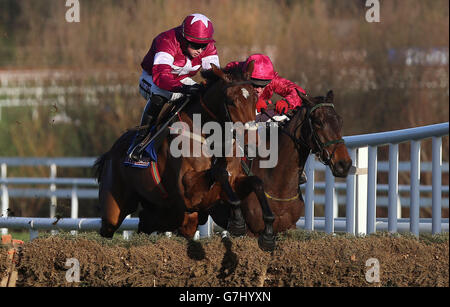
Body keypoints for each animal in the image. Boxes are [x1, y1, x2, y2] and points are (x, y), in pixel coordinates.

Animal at [92, 62, 268, 241]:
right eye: (231, 101)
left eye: (255, 98)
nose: (253, 140)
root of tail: (110, 152)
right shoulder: (187, 193)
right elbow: (219, 173)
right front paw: (238, 222)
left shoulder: (232, 182)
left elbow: (256, 182)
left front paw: (267, 223)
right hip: (114, 208)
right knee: (107, 229)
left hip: (163, 211)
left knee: (146, 224)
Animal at [209, 89, 354, 248]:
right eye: (318, 122)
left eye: (340, 121)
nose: (344, 164)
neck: (278, 184)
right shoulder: (251, 232)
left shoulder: (289, 228)